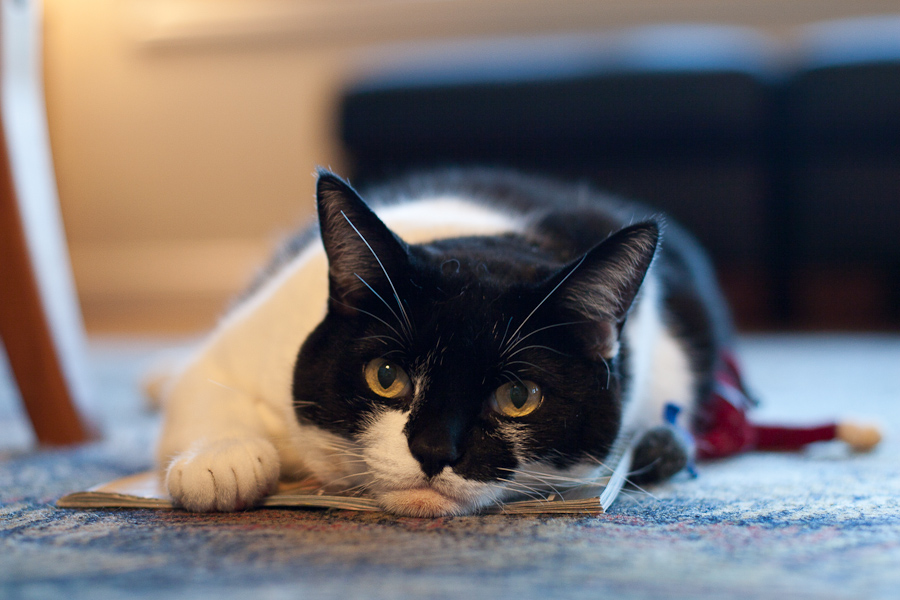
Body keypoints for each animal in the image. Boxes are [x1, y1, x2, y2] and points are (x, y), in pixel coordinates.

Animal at [156, 168, 732, 516]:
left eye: (518, 397)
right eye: (386, 376)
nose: (434, 450)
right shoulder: (253, 340)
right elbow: (203, 384)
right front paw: (220, 463)